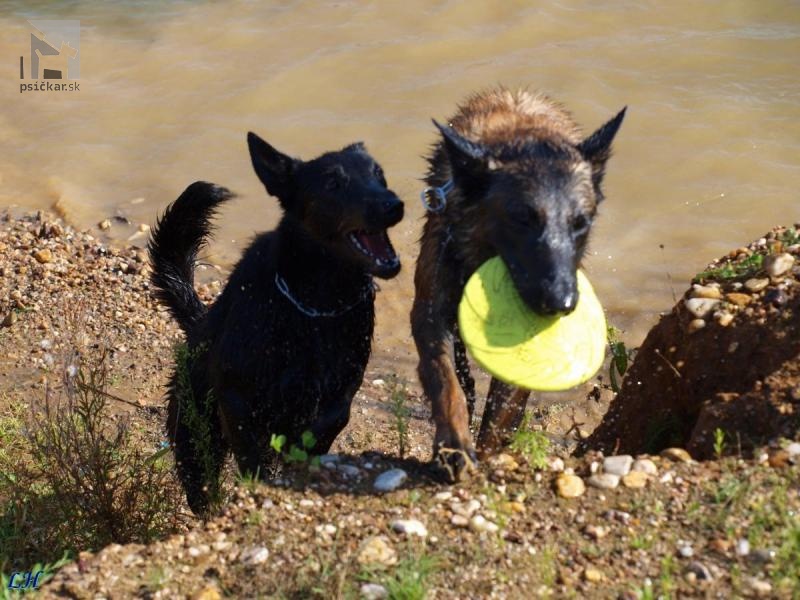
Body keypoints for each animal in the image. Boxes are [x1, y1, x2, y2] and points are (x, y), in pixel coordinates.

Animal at [148, 134, 404, 512]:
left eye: (379, 174)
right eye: (333, 183)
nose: (393, 205)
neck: (314, 305)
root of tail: (198, 325)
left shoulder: (339, 397)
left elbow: (319, 431)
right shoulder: (236, 399)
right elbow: (253, 455)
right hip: (195, 435)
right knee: (203, 486)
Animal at [412, 88, 624, 478]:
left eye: (580, 223)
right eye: (523, 219)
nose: (561, 303)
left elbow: (502, 408)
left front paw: (488, 452)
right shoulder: (430, 314)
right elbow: (446, 381)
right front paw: (454, 445)